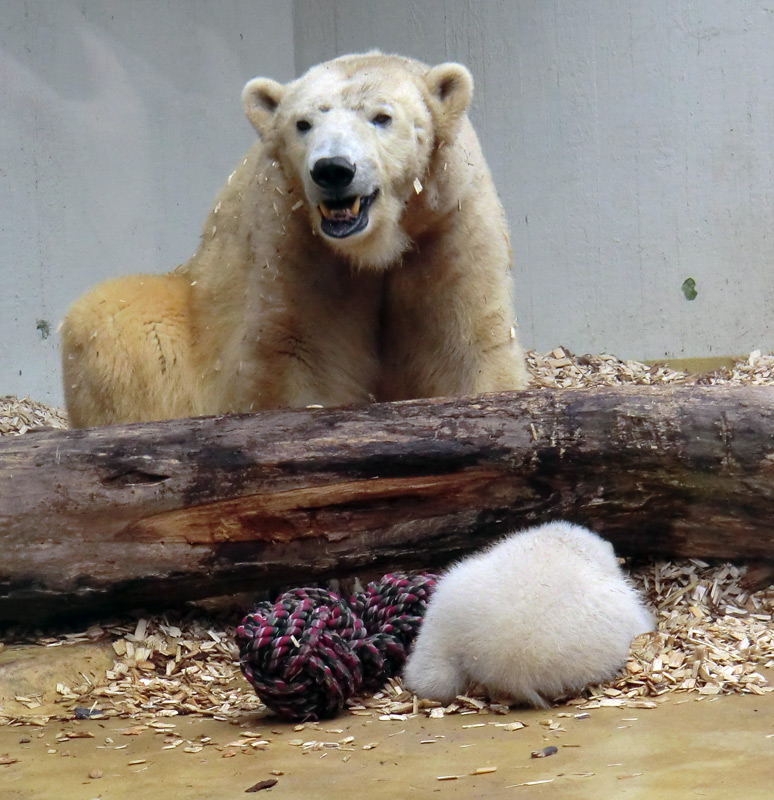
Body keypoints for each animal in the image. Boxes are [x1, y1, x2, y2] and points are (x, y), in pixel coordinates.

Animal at [63, 53, 532, 428]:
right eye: (303, 123)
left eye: (381, 117)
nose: (333, 169)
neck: (377, 244)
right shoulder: (294, 240)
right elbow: (306, 355)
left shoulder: (449, 224)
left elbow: (465, 345)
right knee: (114, 321)